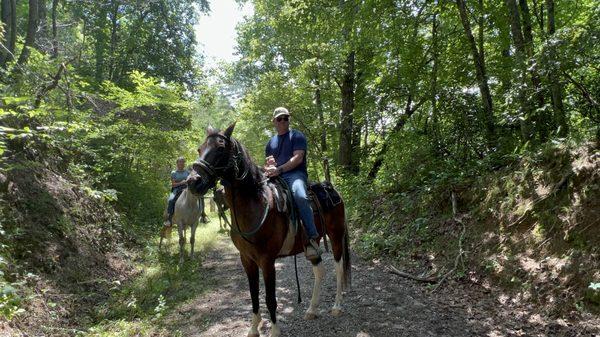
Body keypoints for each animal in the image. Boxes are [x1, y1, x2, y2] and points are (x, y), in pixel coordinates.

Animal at [190, 123, 350, 336]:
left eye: (221, 148)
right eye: (200, 149)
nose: (193, 181)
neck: (256, 204)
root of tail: (333, 190)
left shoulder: (267, 260)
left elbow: (270, 299)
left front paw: (274, 331)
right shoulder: (247, 259)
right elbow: (253, 295)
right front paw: (253, 328)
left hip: (336, 235)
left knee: (338, 268)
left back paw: (337, 306)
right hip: (312, 245)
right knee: (320, 271)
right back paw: (312, 309)